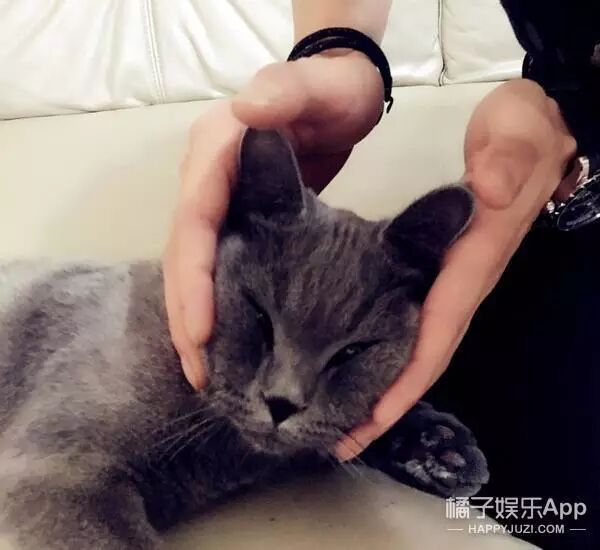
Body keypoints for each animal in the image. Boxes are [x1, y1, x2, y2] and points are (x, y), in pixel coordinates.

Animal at [0, 129, 489, 549]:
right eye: (259, 316)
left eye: (352, 351)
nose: (282, 403)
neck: (225, 452)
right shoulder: (58, 470)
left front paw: (443, 449)